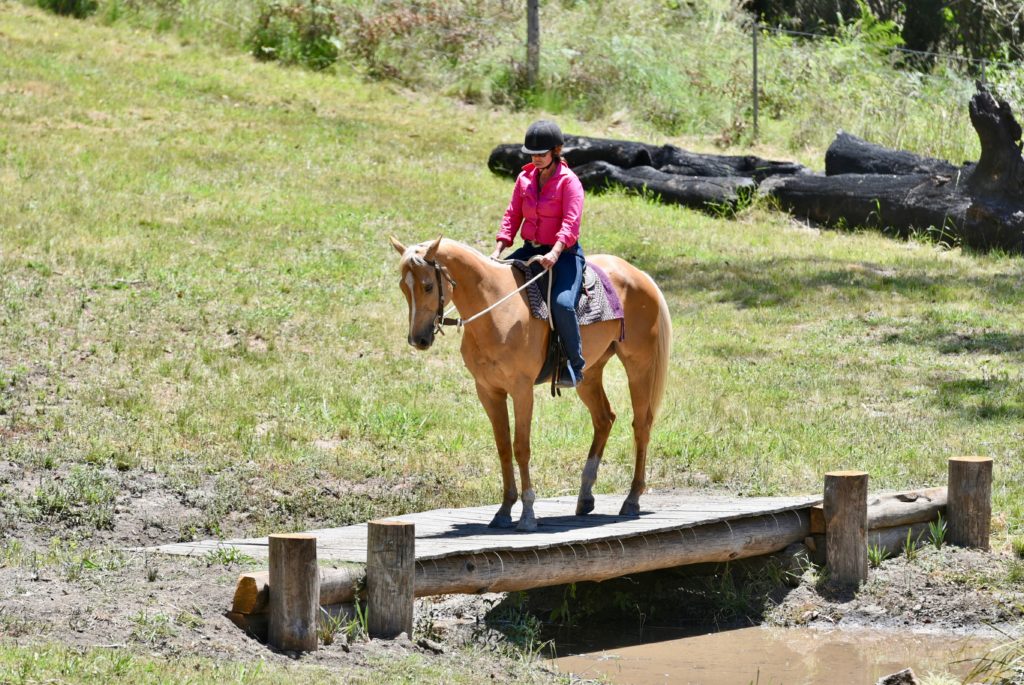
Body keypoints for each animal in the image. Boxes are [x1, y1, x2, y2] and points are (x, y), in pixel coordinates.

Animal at [385, 237, 671, 532]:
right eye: (403, 287)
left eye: (428, 286)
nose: (418, 340)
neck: (496, 308)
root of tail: (640, 275)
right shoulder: (488, 391)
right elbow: (503, 447)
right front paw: (503, 510)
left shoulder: (521, 390)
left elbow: (521, 447)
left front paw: (527, 514)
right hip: (589, 373)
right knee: (604, 419)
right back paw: (585, 496)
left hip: (640, 365)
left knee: (641, 425)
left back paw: (632, 499)